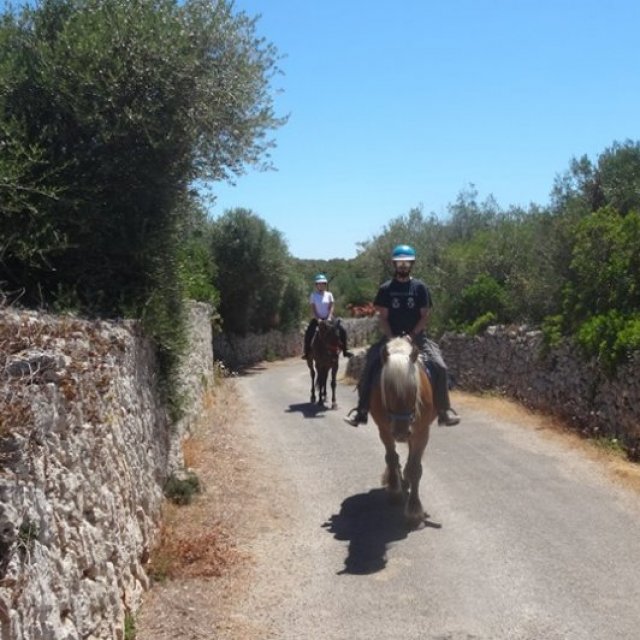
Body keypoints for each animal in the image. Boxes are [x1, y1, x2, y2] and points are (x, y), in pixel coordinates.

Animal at [368, 338, 438, 528]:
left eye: (414, 390)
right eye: (386, 389)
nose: (400, 432)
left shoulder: (422, 432)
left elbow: (415, 469)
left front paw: (414, 511)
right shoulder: (384, 430)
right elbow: (391, 458)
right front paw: (394, 491)